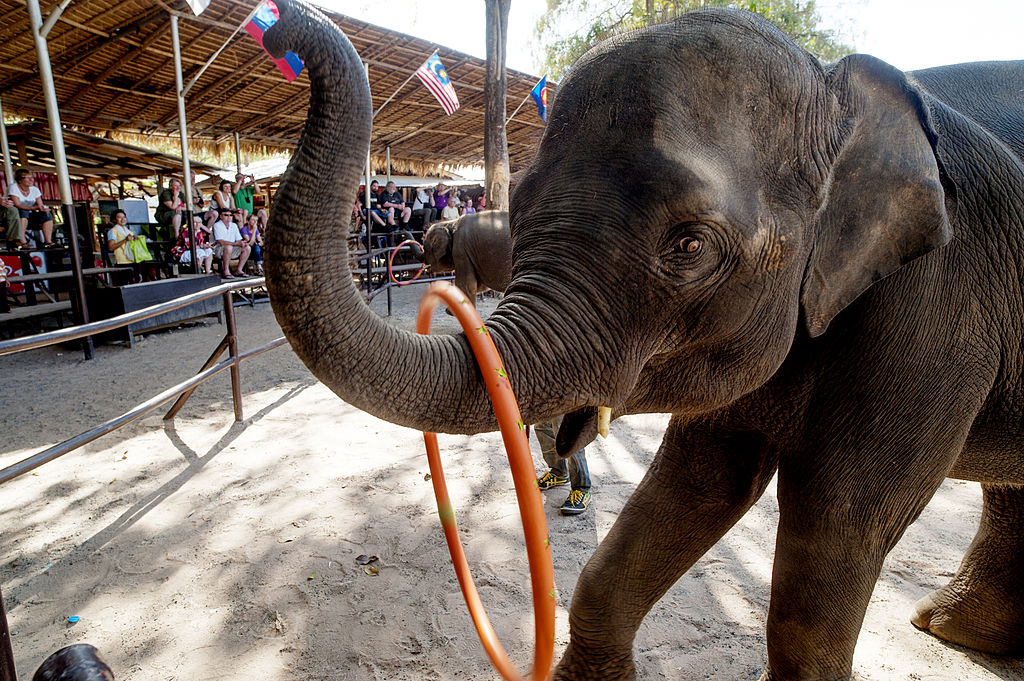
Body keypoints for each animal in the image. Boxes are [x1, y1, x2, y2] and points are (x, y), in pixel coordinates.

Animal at [260, 2, 1024, 675]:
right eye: (523, 209)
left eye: (689, 244)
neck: (836, 87)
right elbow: (696, 481)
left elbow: (839, 524)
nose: (281, 31)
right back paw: (950, 629)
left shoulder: (940, 309)